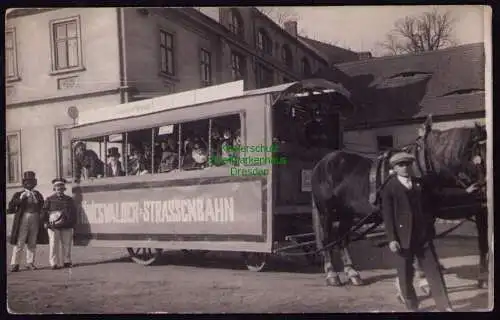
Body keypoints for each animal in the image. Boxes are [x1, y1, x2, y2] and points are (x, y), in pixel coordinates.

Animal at [310, 115, 486, 288]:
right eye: (481, 156)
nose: (484, 189)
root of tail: (322, 163)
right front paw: (423, 278)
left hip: (347, 213)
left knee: (342, 239)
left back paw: (352, 273)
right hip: (327, 212)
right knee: (328, 239)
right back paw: (332, 274)